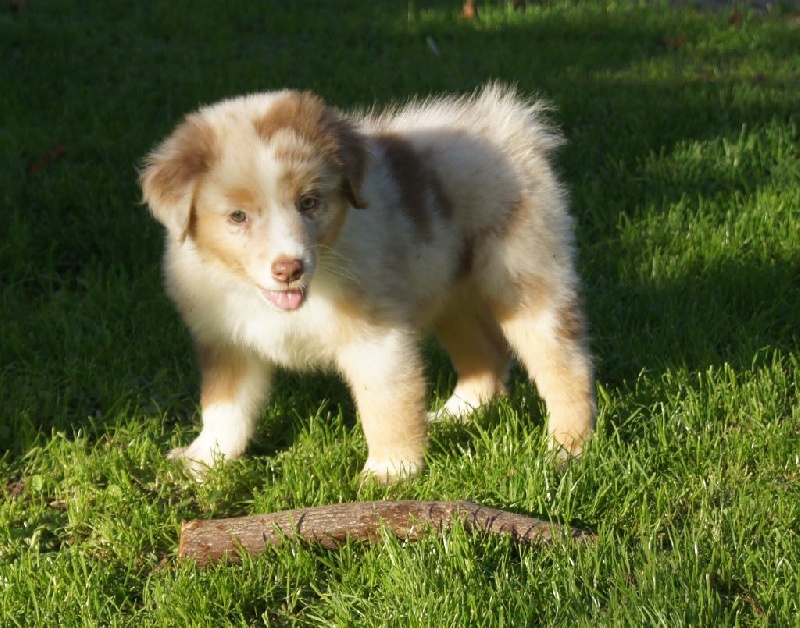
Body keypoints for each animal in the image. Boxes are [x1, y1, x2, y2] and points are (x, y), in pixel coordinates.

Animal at [140, 84, 595, 482]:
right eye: (238, 216)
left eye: (309, 202)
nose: (289, 268)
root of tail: (509, 125)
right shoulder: (229, 342)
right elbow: (224, 406)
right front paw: (203, 460)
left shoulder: (378, 338)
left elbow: (387, 403)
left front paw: (391, 472)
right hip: (449, 290)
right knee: (485, 353)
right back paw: (457, 414)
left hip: (526, 279)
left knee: (566, 365)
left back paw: (566, 449)